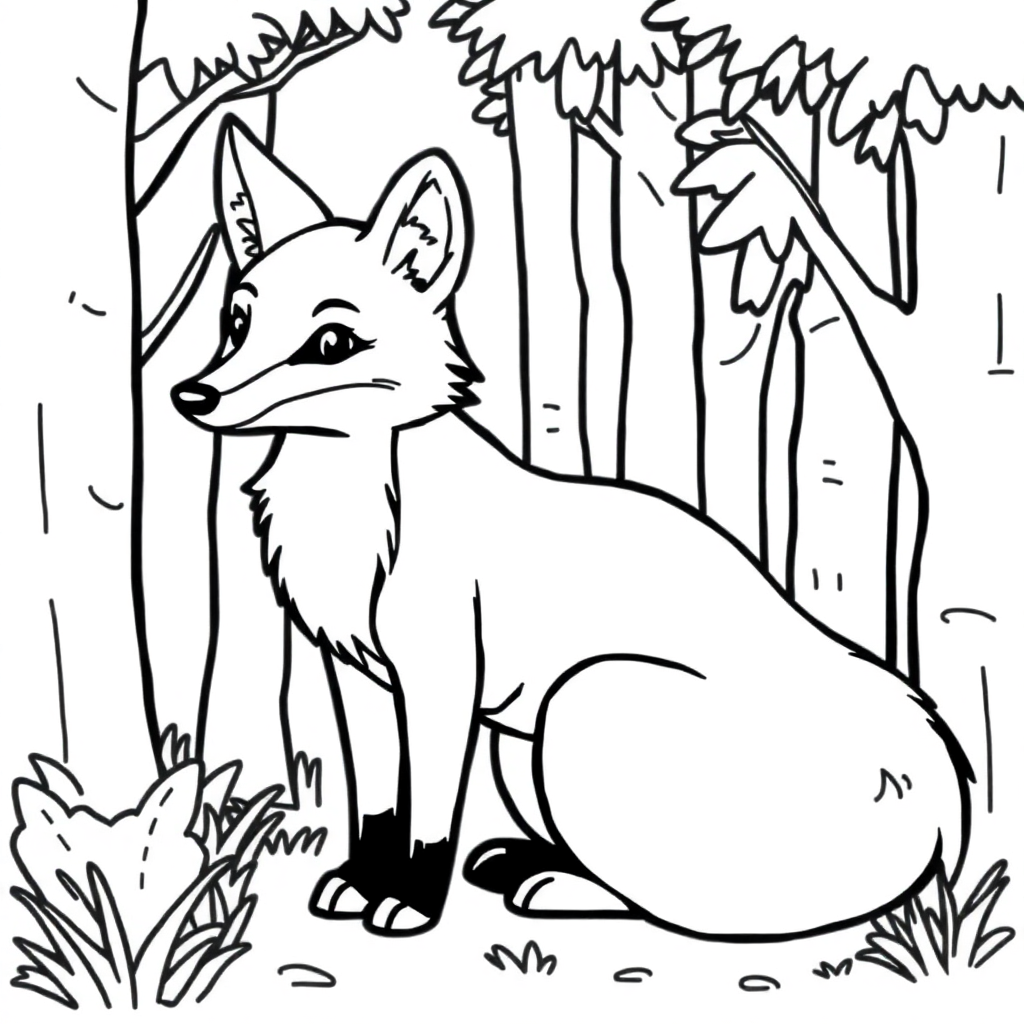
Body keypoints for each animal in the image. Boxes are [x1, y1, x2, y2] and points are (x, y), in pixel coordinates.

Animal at [171, 114, 971, 939]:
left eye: (329, 343)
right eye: (237, 320)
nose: (191, 395)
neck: (348, 516)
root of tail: (949, 805)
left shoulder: (439, 676)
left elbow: (428, 817)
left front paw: (409, 902)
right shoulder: (357, 675)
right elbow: (377, 807)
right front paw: (362, 884)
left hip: (580, 701)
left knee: (692, 904)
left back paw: (555, 887)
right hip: (523, 749)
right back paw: (528, 863)